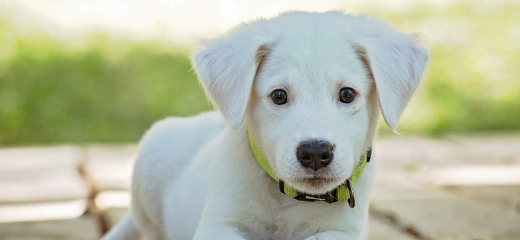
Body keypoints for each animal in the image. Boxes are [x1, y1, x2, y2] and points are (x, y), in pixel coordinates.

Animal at [101, 10, 426, 240]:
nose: (315, 153)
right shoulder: (219, 224)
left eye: (347, 94)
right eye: (279, 96)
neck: (289, 199)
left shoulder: (342, 232)